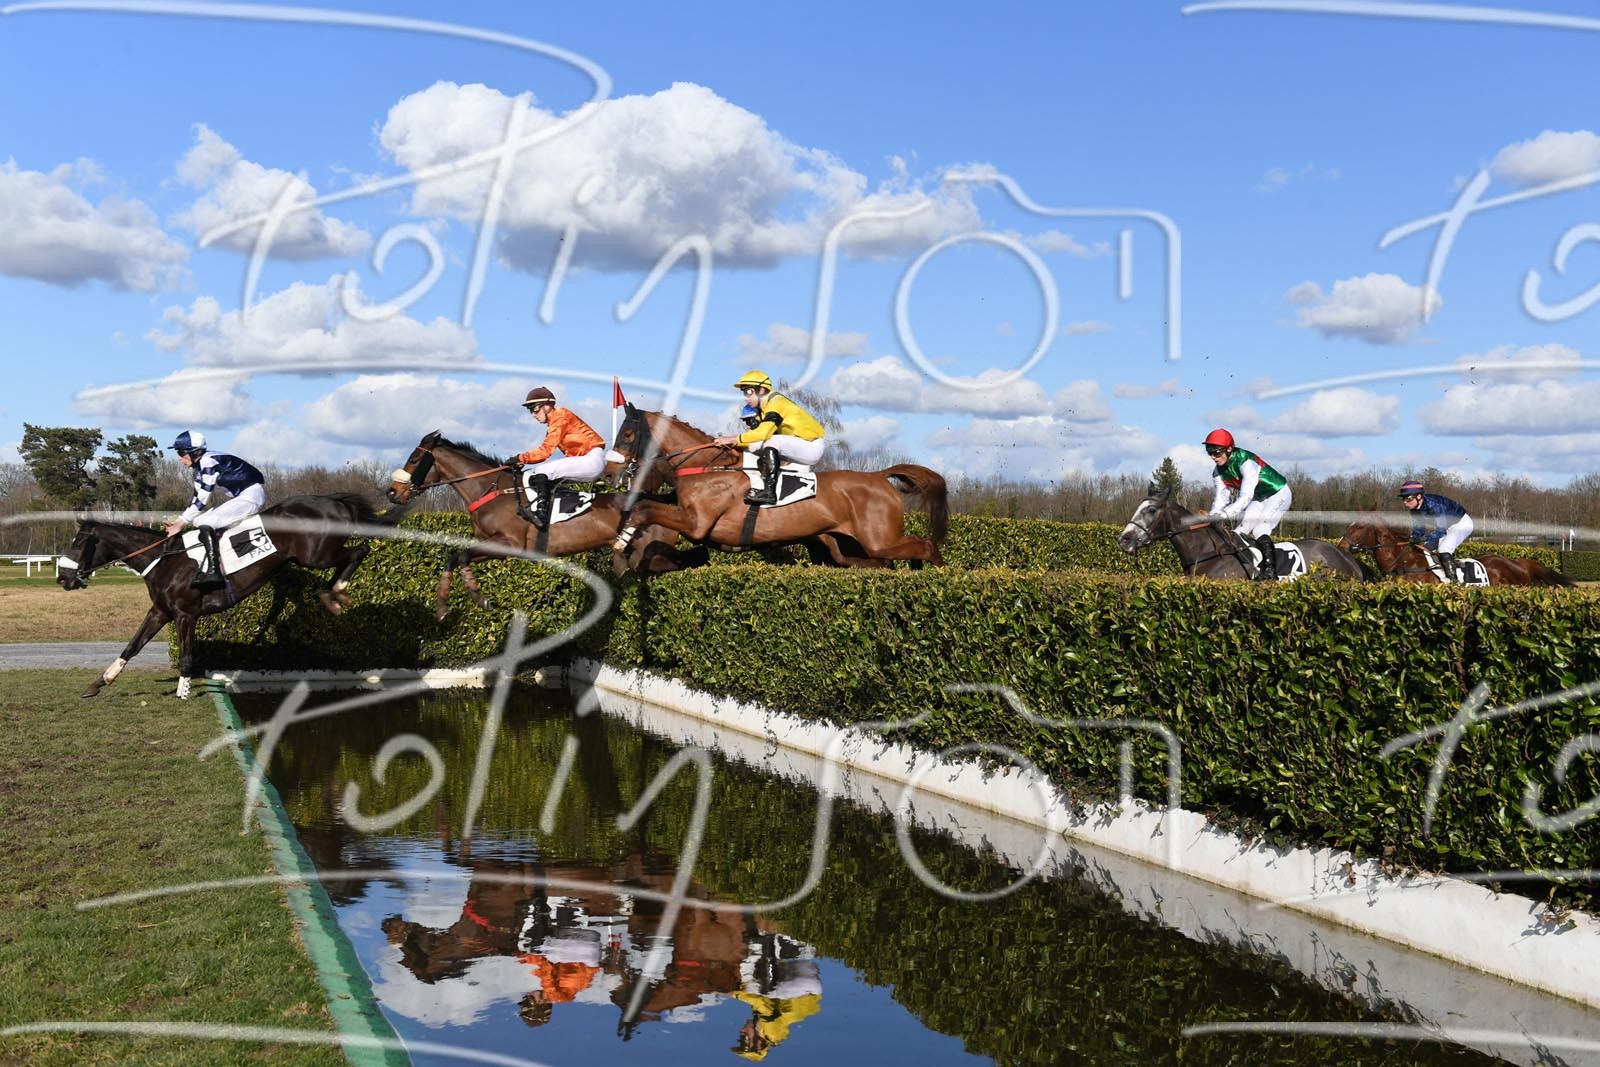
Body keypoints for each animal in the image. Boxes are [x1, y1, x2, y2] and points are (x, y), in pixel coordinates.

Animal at [58, 493, 391, 699]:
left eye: (78, 544)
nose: (62, 578)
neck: (165, 560)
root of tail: (334, 501)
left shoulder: (185, 614)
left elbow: (187, 655)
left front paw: (182, 692)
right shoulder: (160, 612)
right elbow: (132, 645)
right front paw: (99, 682)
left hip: (316, 556)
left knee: (360, 550)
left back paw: (335, 593)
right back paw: (332, 594)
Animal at [385, 431, 704, 619]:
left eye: (414, 458)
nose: (392, 492)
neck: (491, 490)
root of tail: (662, 499)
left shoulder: (509, 544)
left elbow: (461, 555)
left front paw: (480, 597)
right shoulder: (491, 544)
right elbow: (454, 557)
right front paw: (442, 608)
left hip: (650, 554)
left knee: (691, 561)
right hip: (637, 556)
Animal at [605, 405, 948, 568]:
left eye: (627, 435)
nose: (608, 473)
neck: (706, 466)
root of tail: (878, 477)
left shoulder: (696, 523)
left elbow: (646, 509)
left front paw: (621, 544)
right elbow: (644, 505)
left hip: (879, 539)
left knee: (926, 546)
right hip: (845, 547)